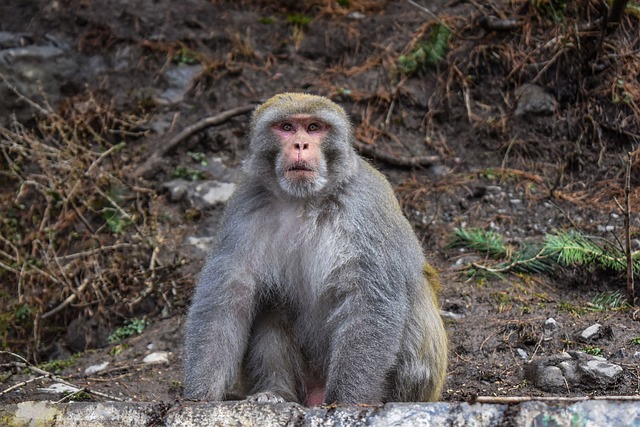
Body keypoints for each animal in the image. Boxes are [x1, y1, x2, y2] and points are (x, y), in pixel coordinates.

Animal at [182, 92, 448, 406]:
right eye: (286, 128)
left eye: (313, 128)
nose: (300, 144)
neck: (303, 200)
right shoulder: (245, 207)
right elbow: (227, 300)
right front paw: (198, 398)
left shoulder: (365, 205)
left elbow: (371, 301)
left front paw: (345, 402)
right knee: (270, 302)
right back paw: (276, 392)